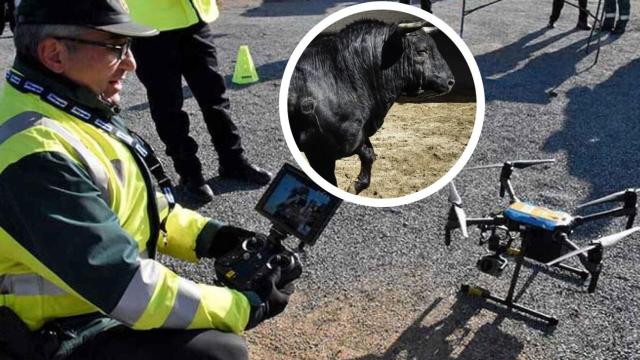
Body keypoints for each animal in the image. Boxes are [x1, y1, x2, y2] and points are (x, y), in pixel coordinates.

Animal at [288, 20, 458, 194]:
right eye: (422, 50)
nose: (451, 81)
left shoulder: (357, 136)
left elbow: (369, 154)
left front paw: (355, 186)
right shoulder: (319, 152)